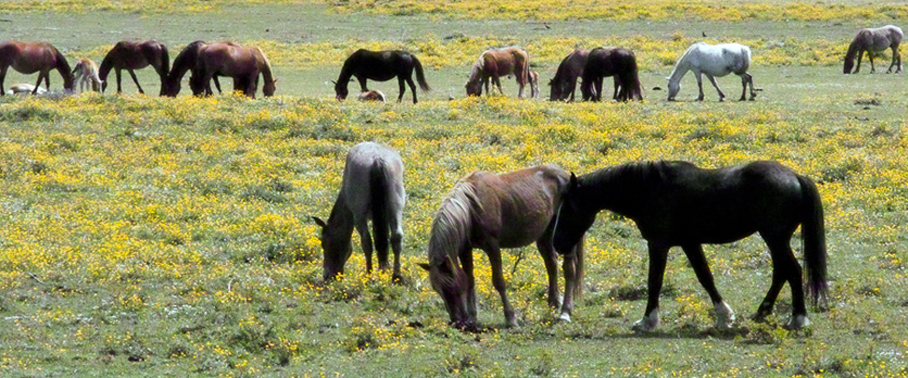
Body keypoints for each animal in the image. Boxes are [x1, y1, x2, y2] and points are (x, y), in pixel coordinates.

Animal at [316, 140, 408, 282]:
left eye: (324, 242)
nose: (327, 276)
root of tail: (377, 159)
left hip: (359, 215)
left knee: (366, 241)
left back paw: (369, 274)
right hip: (395, 208)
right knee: (396, 237)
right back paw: (396, 276)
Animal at [420, 164, 584, 330]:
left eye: (450, 285)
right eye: (436, 289)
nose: (457, 322)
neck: (471, 209)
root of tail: (567, 176)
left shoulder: (492, 246)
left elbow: (499, 281)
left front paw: (511, 318)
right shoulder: (466, 250)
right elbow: (470, 279)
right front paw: (472, 317)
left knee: (568, 269)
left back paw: (565, 312)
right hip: (546, 234)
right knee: (551, 264)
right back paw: (554, 303)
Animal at [548, 161, 828, 332]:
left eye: (568, 207)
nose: (556, 243)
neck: (649, 190)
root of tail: (795, 177)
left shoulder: (658, 245)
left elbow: (655, 281)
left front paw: (647, 320)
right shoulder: (689, 243)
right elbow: (705, 277)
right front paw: (724, 316)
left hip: (775, 238)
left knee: (792, 271)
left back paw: (798, 318)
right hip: (774, 239)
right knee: (782, 272)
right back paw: (763, 312)